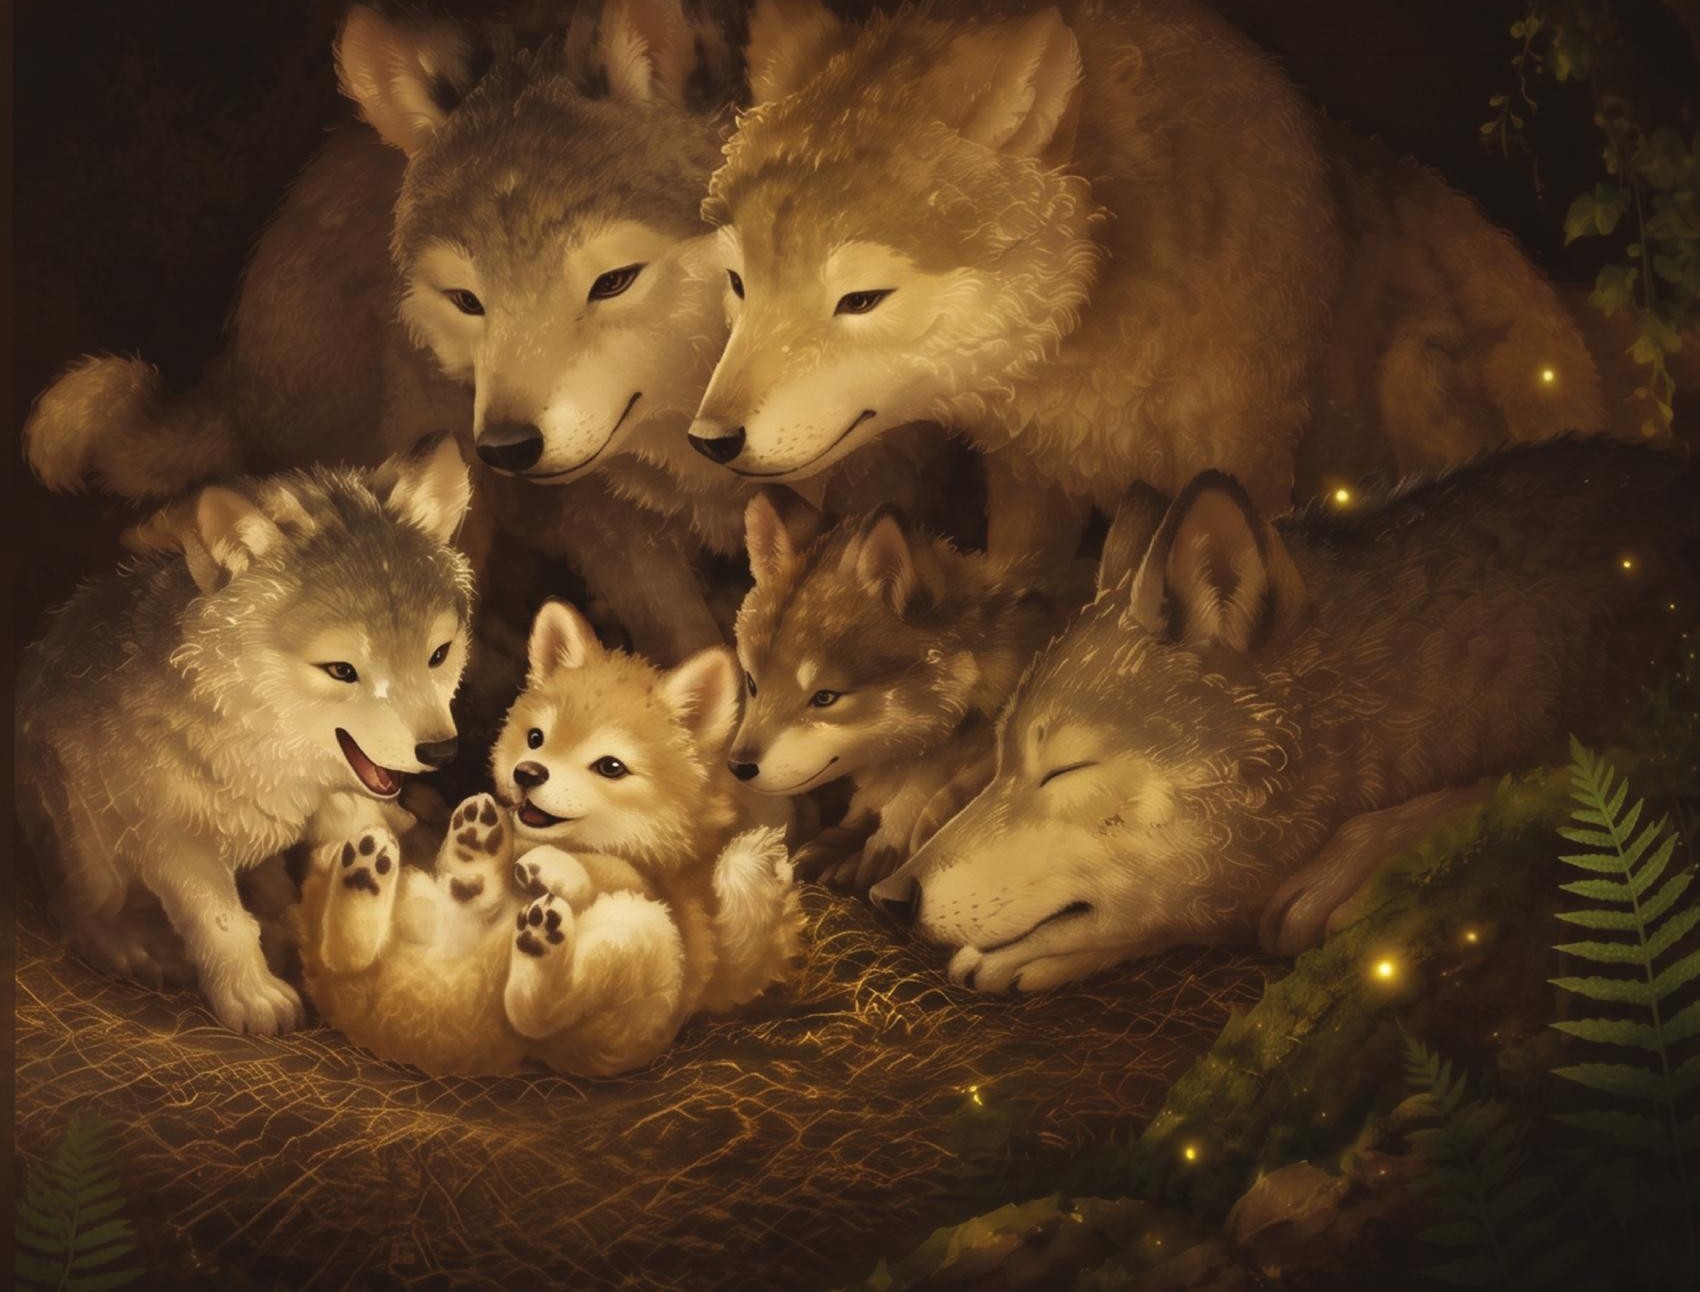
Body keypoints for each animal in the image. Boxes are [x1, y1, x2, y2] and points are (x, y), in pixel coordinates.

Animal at [15, 433, 476, 1033]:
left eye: (438, 655)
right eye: (342, 670)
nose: (441, 751)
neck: (266, 751)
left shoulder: (339, 806)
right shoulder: (174, 842)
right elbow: (225, 926)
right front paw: (253, 998)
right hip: (88, 853)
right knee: (77, 914)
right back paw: (139, 948)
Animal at [23, 0, 953, 662]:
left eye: (613, 281)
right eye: (470, 300)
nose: (508, 445)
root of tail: (237, 356)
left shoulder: (884, 483)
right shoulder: (612, 536)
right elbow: (698, 659)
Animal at [290, 599, 803, 1077]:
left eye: (610, 766)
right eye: (536, 738)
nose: (528, 772)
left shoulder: (651, 887)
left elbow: (605, 869)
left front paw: (551, 867)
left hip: (642, 946)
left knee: (533, 1013)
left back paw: (530, 932)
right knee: (348, 952)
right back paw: (427, 859)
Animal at [688, 0, 1611, 566]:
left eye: (860, 301)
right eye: (739, 282)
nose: (710, 442)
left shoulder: (1244, 462)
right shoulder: (1029, 480)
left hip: (1424, 368)